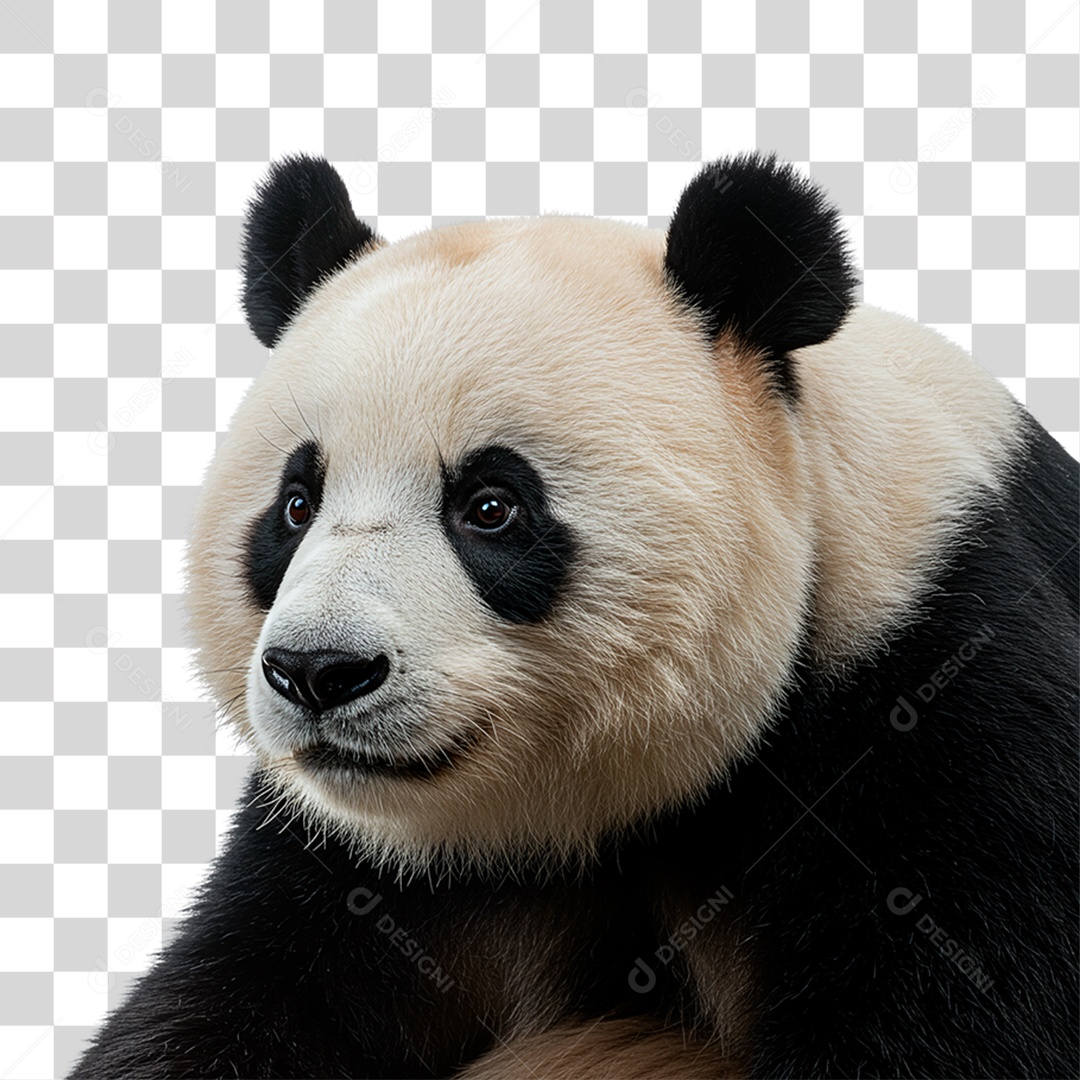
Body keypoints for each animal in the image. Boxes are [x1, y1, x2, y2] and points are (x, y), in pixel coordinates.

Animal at [71, 152, 1077, 1079]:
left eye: (490, 506)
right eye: (295, 505)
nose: (320, 672)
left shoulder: (930, 687)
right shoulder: (351, 864)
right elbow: (228, 1000)